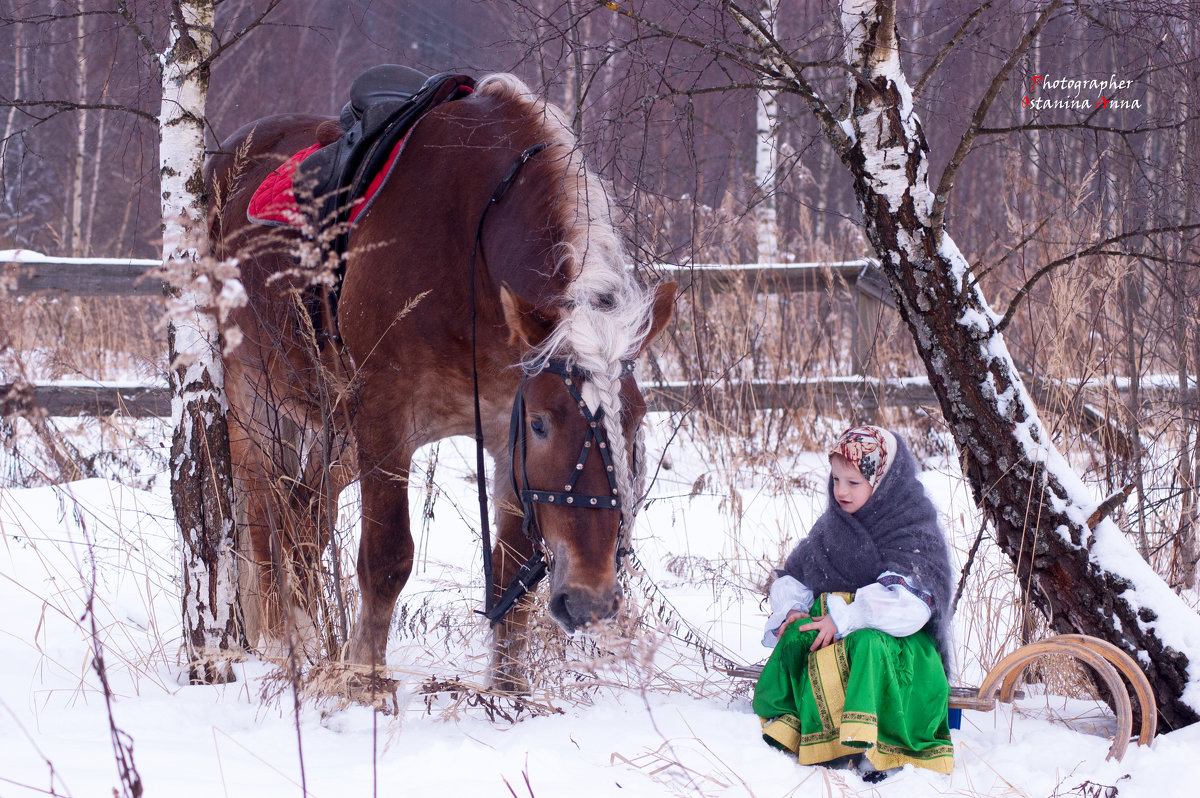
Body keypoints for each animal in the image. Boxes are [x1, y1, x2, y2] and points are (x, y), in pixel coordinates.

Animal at [206, 71, 676, 686]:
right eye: (543, 424)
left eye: (636, 423)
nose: (590, 601)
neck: (470, 247)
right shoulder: (386, 418)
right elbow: (385, 559)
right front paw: (364, 682)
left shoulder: (501, 433)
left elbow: (512, 575)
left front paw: (508, 692)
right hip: (252, 397)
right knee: (264, 523)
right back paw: (290, 642)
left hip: (334, 428)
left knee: (305, 514)